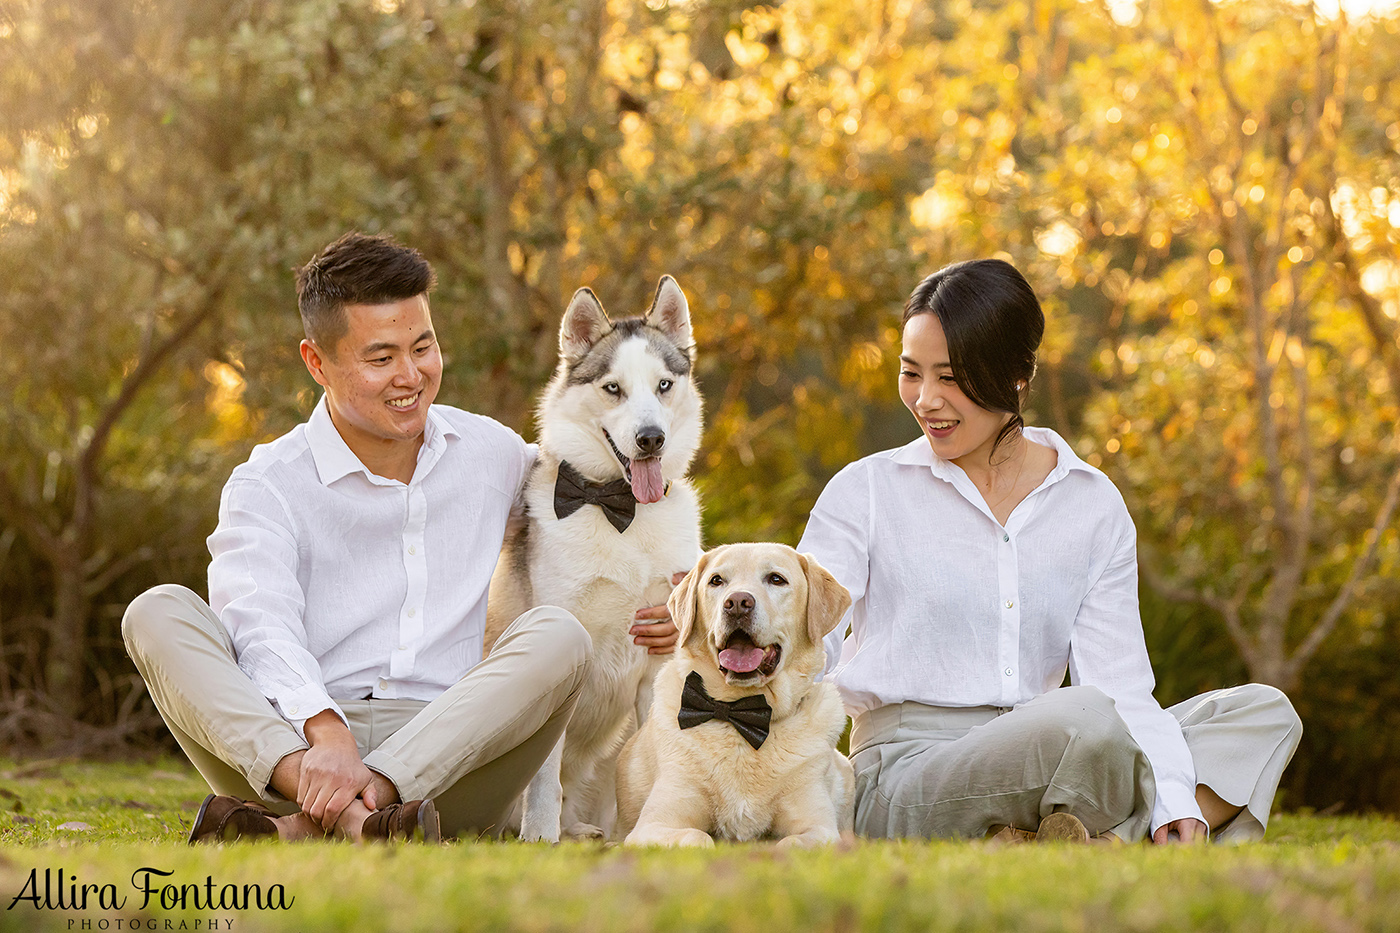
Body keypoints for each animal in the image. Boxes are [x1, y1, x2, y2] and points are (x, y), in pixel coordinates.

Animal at [484, 275, 700, 840]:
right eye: (613, 388)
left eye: (663, 385)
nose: (651, 439)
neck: (619, 509)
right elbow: (543, 778)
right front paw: (539, 835)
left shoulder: (658, 667)